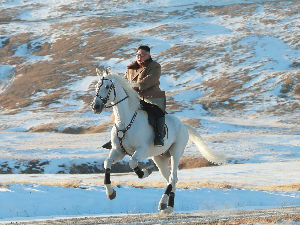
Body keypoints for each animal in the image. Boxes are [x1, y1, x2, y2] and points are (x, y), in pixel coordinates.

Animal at [91, 68, 225, 214]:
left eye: (107, 86)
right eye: (96, 86)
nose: (95, 106)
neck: (125, 122)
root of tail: (184, 126)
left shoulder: (142, 150)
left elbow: (132, 162)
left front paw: (145, 172)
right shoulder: (118, 151)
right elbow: (107, 163)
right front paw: (110, 193)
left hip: (176, 153)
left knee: (173, 178)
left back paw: (165, 205)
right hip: (159, 158)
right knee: (171, 179)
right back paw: (167, 205)